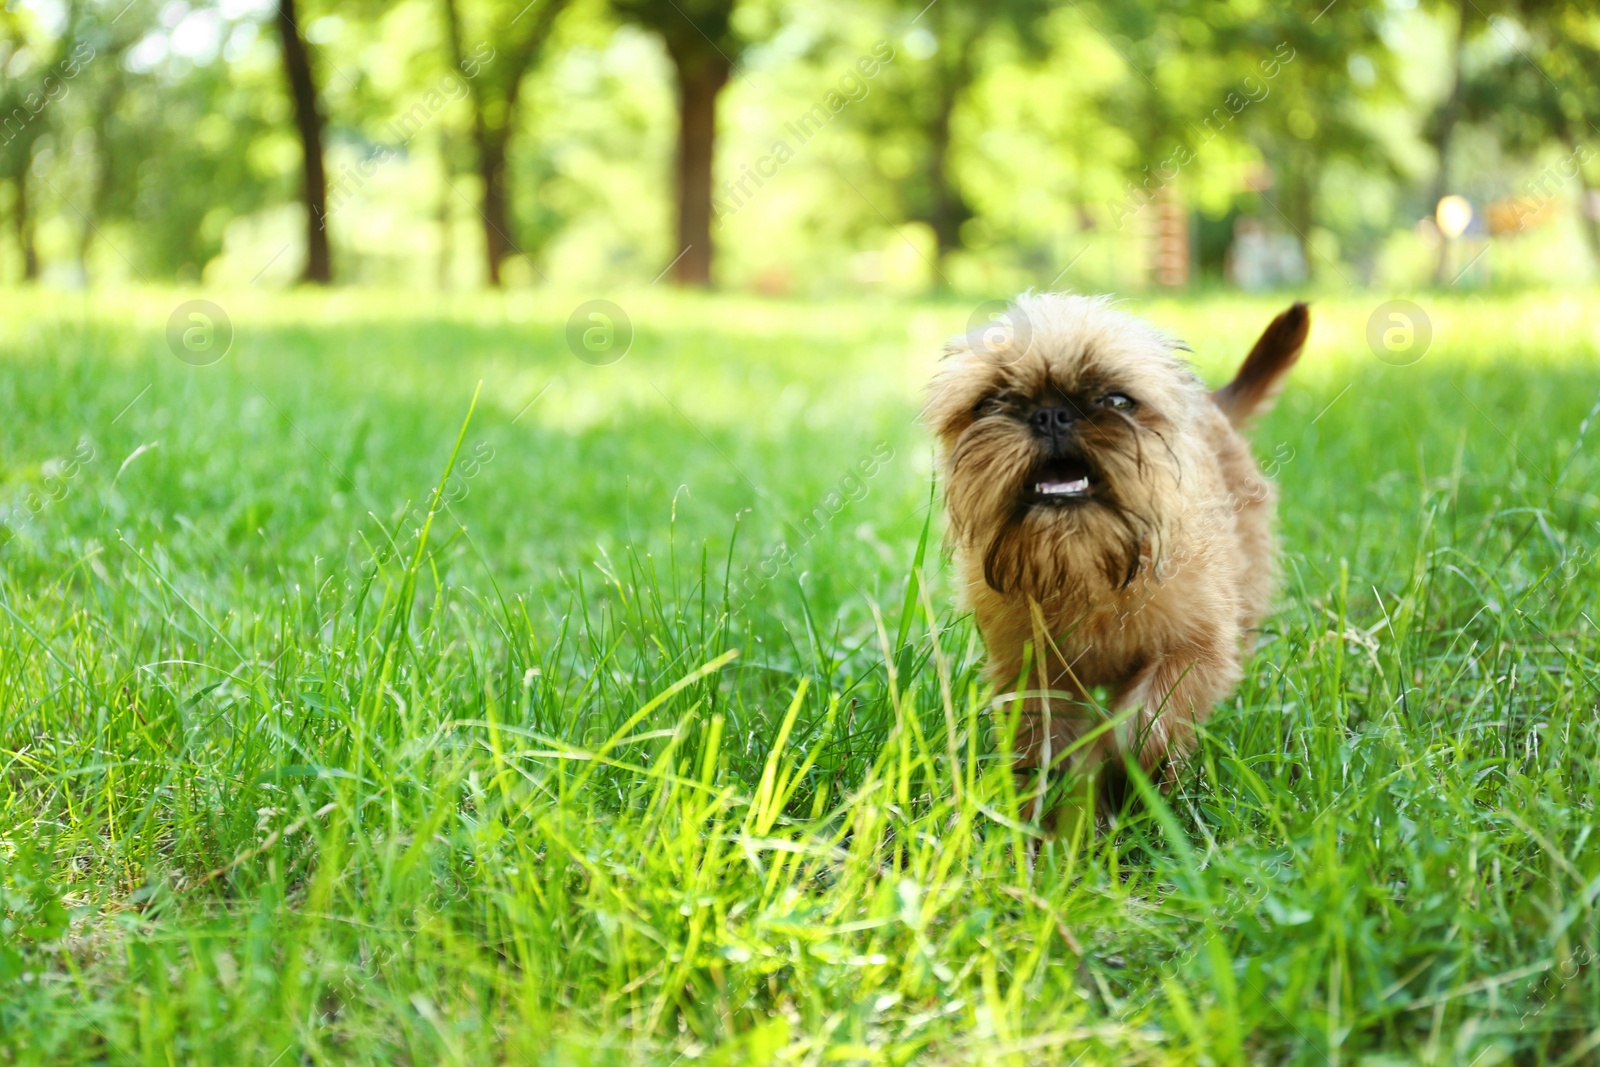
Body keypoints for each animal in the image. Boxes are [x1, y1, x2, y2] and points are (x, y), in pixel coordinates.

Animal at [921, 292, 1305, 793]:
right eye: (989, 404)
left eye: (1118, 400)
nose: (1050, 414)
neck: (1084, 563)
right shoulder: (1031, 676)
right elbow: (1042, 747)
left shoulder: (1195, 652)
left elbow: (1145, 724)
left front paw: (1123, 779)